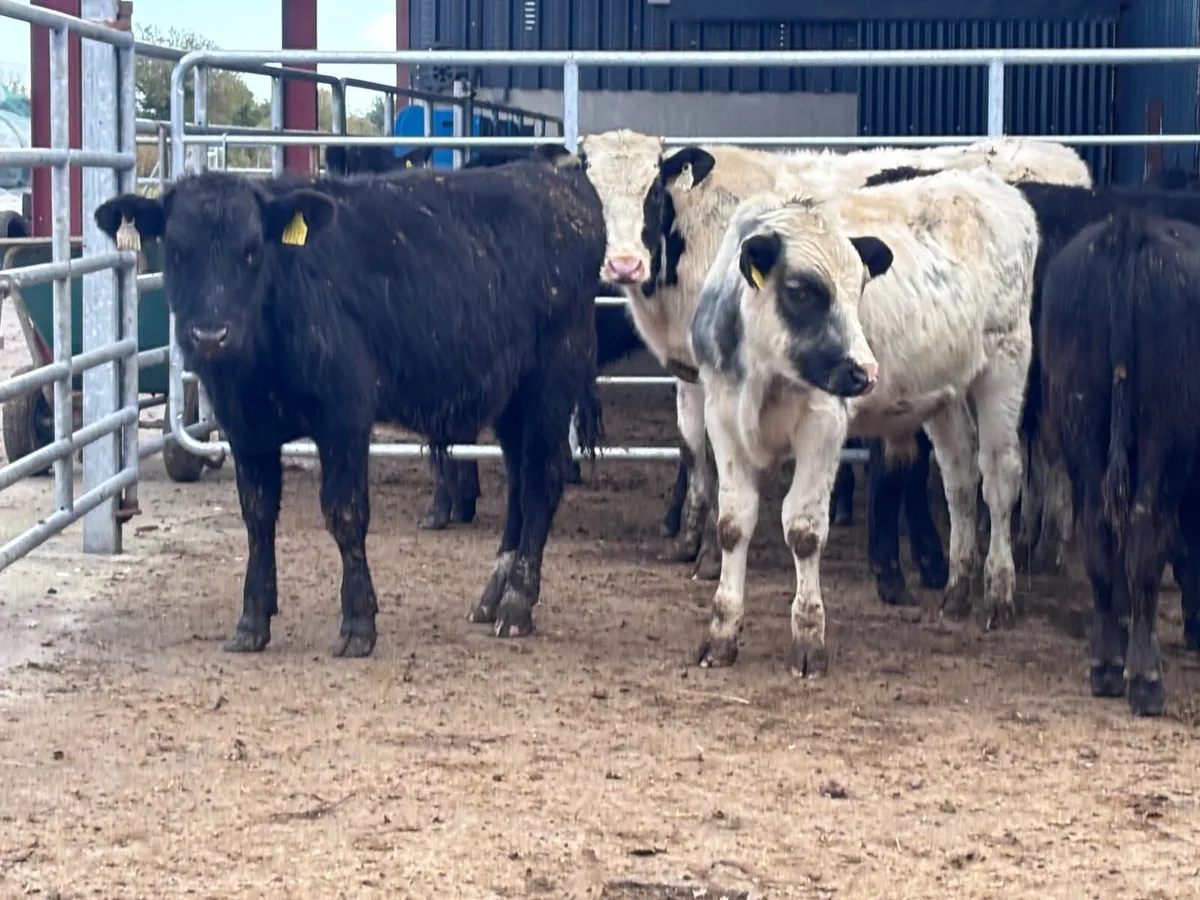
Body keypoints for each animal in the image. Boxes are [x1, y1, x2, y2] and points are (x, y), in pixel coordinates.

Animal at [93, 150, 605, 654]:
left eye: (252, 250)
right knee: (520, 480)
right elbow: (257, 517)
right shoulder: (246, 429)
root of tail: (558, 180)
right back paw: (493, 594)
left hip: (552, 381)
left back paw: (517, 603)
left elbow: (345, 513)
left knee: (542, 480)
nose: (210, 335)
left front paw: (358, 622)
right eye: (177, 251)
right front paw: (252, 620)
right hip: (512, 398)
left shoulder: (344, 417)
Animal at [575, 129, 1083, 592]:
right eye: (590, 197)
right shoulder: (695, 370)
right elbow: (692, 447)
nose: (624, 264)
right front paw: (687, 538)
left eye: (653, 192)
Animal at [689, 167, 1038, 674]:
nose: (863, 371)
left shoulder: (823, 425)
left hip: (1005, 366)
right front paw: (721, 634)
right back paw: (957, 590)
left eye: (859, 290)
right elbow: (733, 525)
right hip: (945, 395)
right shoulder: (722, 417)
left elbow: (803, 530)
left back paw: (999, 594)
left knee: (998, 480)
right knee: (959, 480)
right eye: (801, 291)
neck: (765, 373)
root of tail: (986, 180)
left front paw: (809, 640)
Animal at [1039, 208, 1200, 716]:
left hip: (1080, 418)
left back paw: (1108, 662)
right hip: (1164, 435)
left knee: (1097, 528)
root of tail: (1130, 227)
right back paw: (1144, 679)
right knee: (1147, 532)